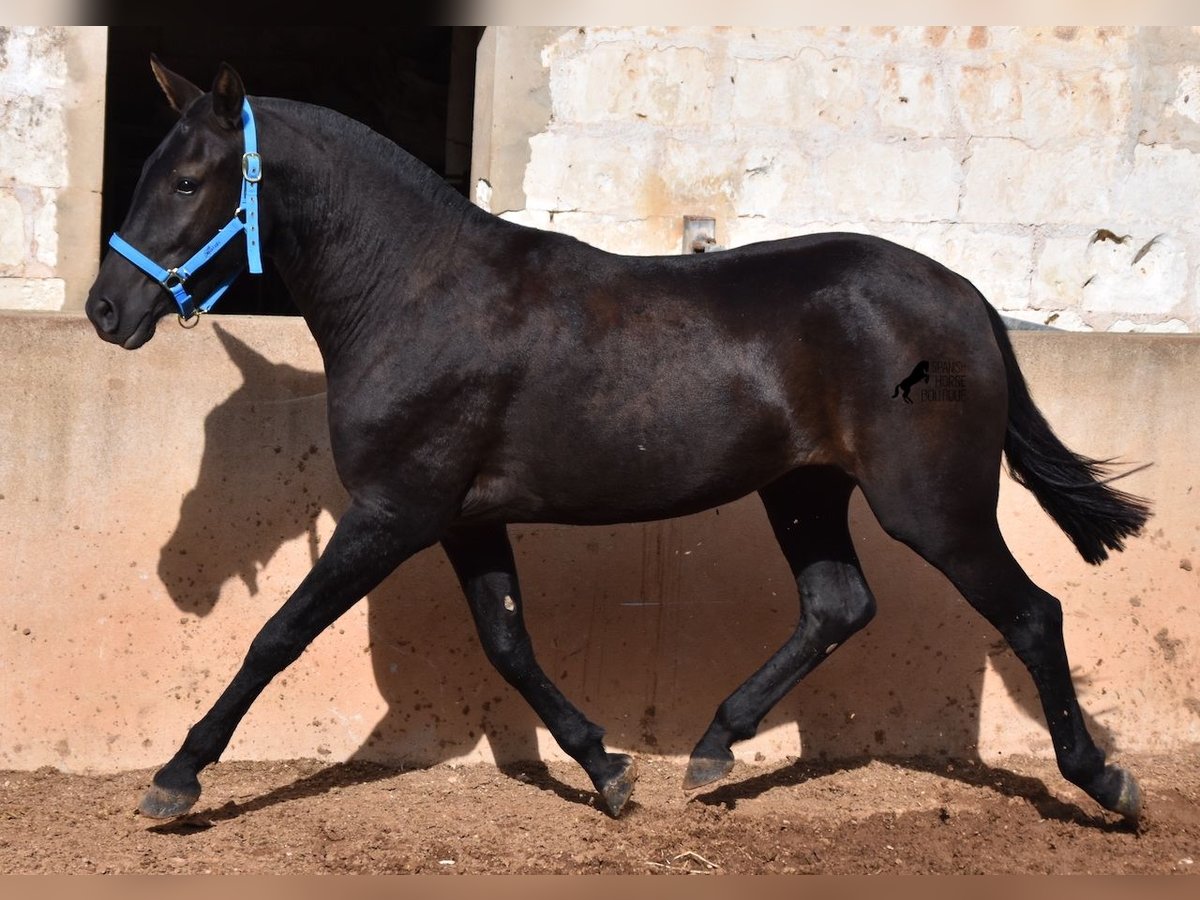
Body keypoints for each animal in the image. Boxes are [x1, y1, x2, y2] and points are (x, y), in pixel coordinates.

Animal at [84, 60, 1152, 830]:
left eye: (188, 180)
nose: (106, 310)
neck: (417, 295)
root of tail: (965, 297)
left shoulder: (394, 512)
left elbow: (278, 634)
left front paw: (175, 779)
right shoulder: (463, 518)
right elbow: (508, 643)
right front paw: (608, 771)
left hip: (934, 507)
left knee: (1033, 614)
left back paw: (1108, 784)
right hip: (803, 491)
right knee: (838, 606)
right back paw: (713, 751)